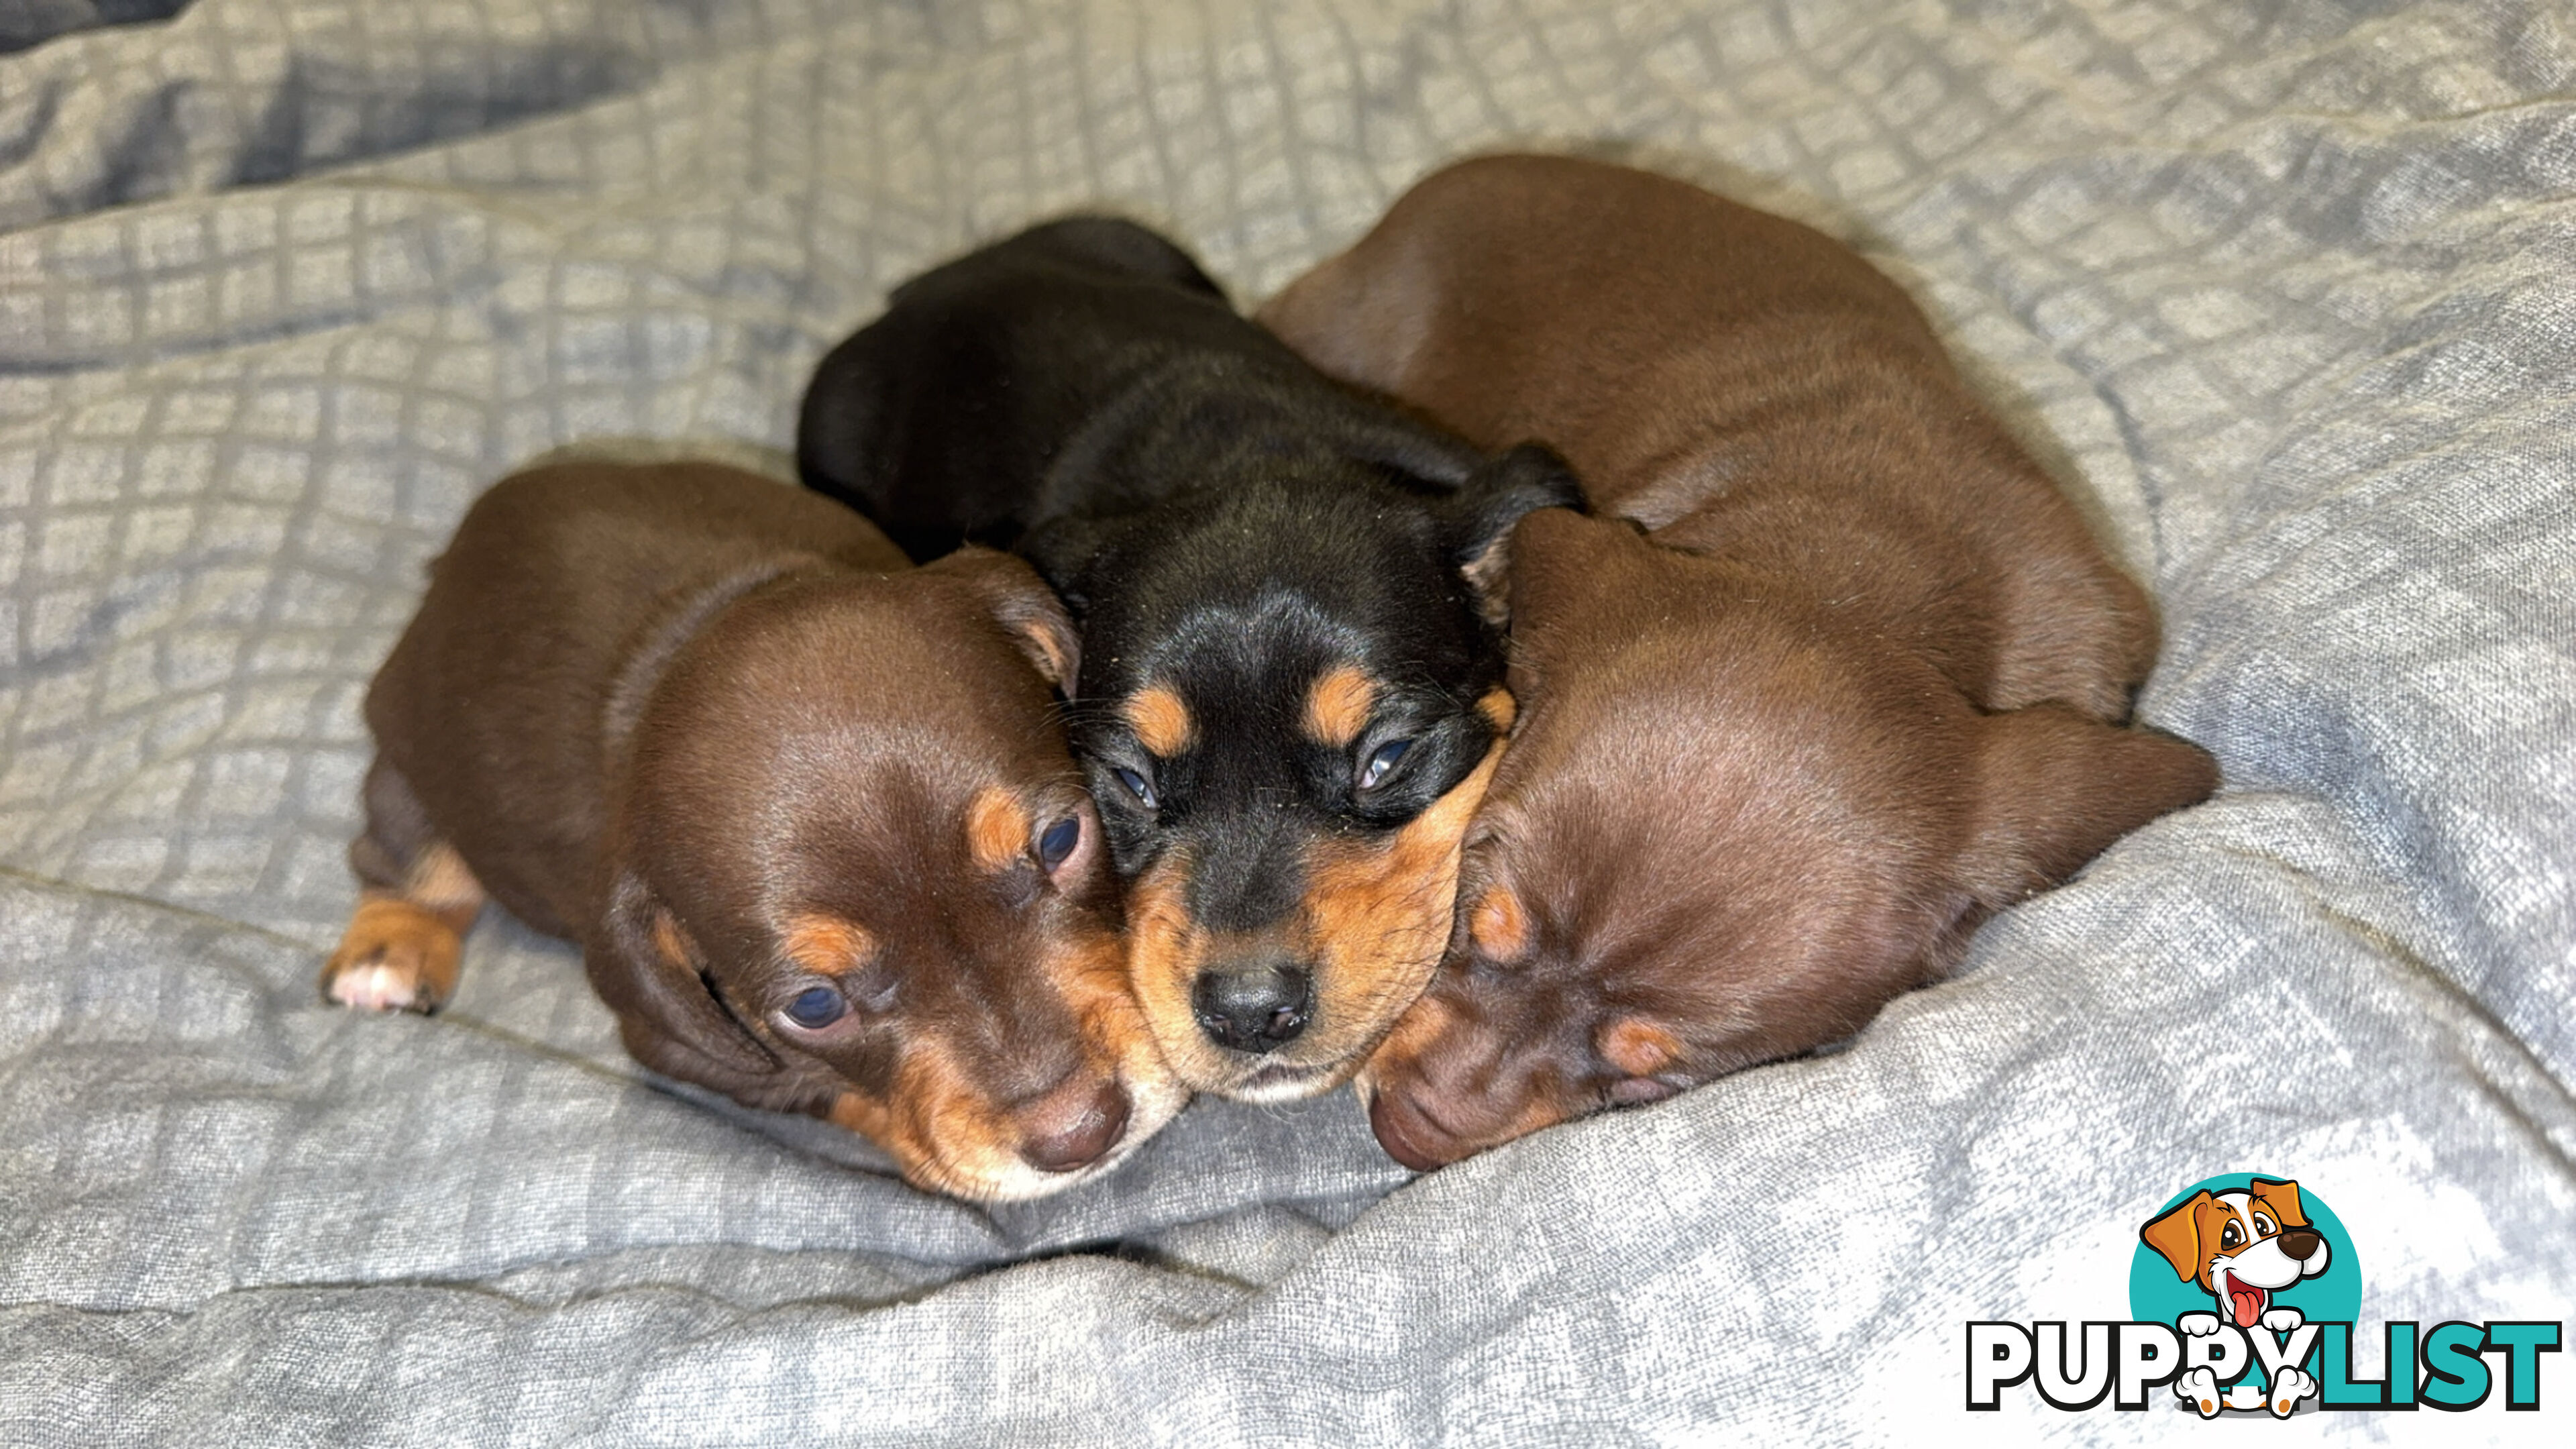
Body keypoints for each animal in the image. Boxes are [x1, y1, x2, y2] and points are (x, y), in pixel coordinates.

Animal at [314, 459, 1185, 1196]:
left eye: (1060, 841)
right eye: (814, 1007)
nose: (1082, 1132)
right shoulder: (686, 1043)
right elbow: (830, 1089)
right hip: (408, 762)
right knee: (403, 857)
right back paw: (387, 952)